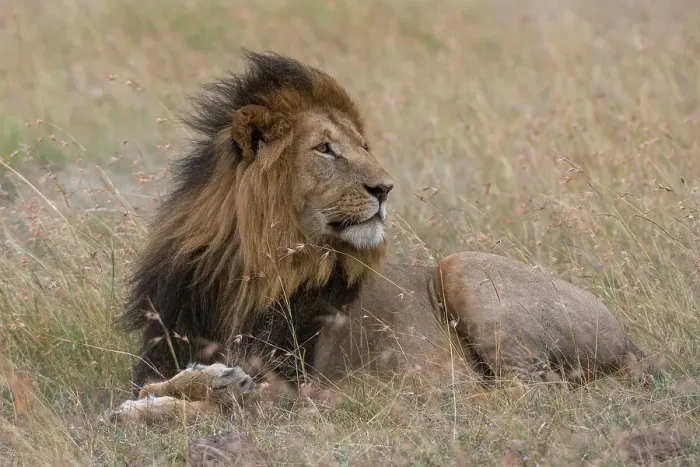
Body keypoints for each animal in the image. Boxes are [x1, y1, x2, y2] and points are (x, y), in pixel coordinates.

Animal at [118, 52, 659, 419]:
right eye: (325, 149)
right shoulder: (165, 350)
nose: (385, 188)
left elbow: (218, 407)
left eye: (363, 146)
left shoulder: (290, 385)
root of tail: (632, 343)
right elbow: (149, 390)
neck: (249, 268)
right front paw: (179, 392)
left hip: (463, 268)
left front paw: (198, 397)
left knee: (526, 391)